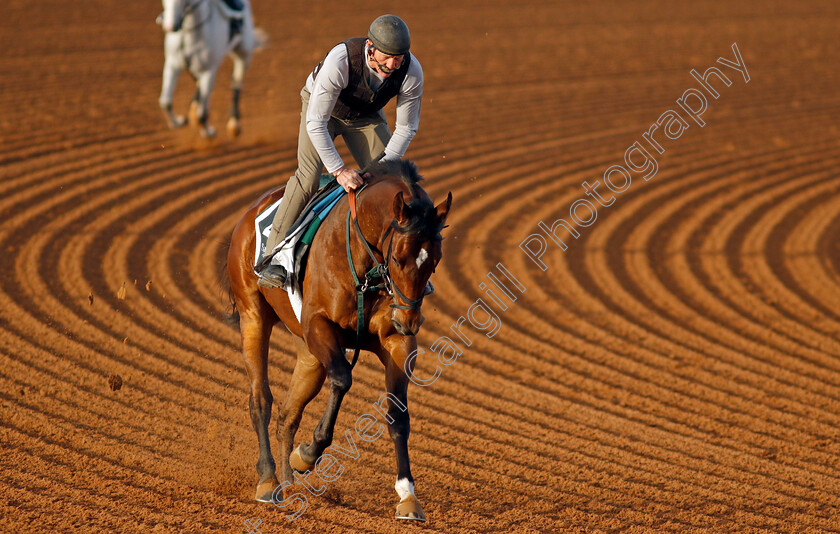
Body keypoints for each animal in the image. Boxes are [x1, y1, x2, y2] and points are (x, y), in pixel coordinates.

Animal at [158, 0, 260, 140]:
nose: (170, 27)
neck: (190, 32)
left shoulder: (209, 71)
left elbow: (202, 113)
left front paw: (208, 132)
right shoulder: (172, 65)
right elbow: (165, 102)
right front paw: (177, 122)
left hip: (244, 53)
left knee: (237, 82)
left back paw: (234, 124)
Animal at [226, 161, 452, 520]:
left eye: (434, 261)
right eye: (398, 258)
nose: (409, 321)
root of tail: (250, 214)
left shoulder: (397, 342)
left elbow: (398, 414)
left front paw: (408, 495)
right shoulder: (319, 324)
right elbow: (343, 378)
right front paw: (308, 452)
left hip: (309, 353)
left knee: (288, 414)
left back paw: (288, 482)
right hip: (254, 317)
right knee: (261, 399)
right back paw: (268, 480)